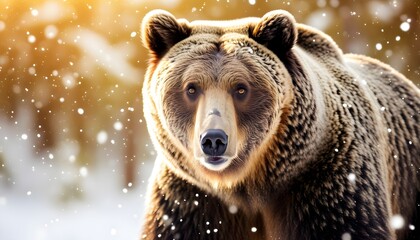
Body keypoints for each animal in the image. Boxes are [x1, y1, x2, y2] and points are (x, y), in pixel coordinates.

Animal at [140, 8, 420, 239]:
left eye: (241, 88)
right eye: (191, 88)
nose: (214, 140)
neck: (247, 183)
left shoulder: (329, 179)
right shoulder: (191, 198)